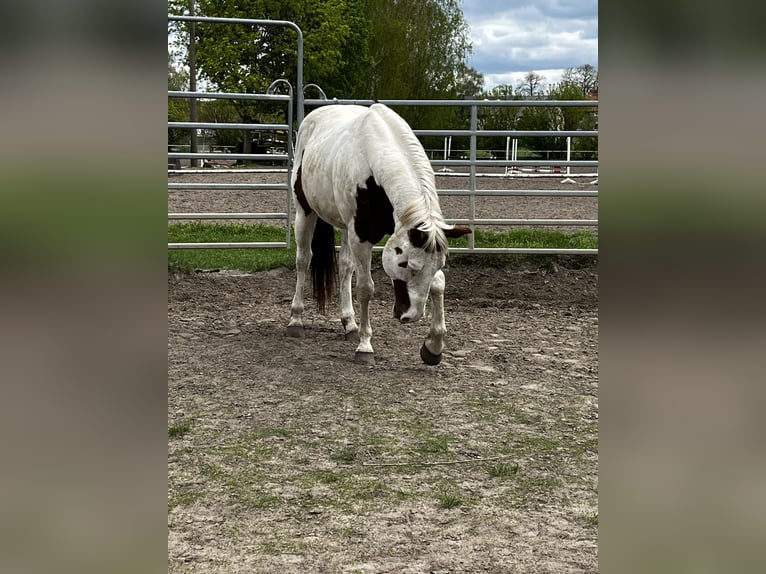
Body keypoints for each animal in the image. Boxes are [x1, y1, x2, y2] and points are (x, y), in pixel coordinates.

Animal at [284, 103, 472, 364]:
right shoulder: (361, 237)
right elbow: (365, 288)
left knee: (344, 267)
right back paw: (296, 320)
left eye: (437, 265)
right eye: (405, 264)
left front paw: (433, 347)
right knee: (303, 260)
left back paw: (349, 323)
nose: (411, 316)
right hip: (305, 213)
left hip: (345, 226)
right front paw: (365, 346)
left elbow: (438, 284)